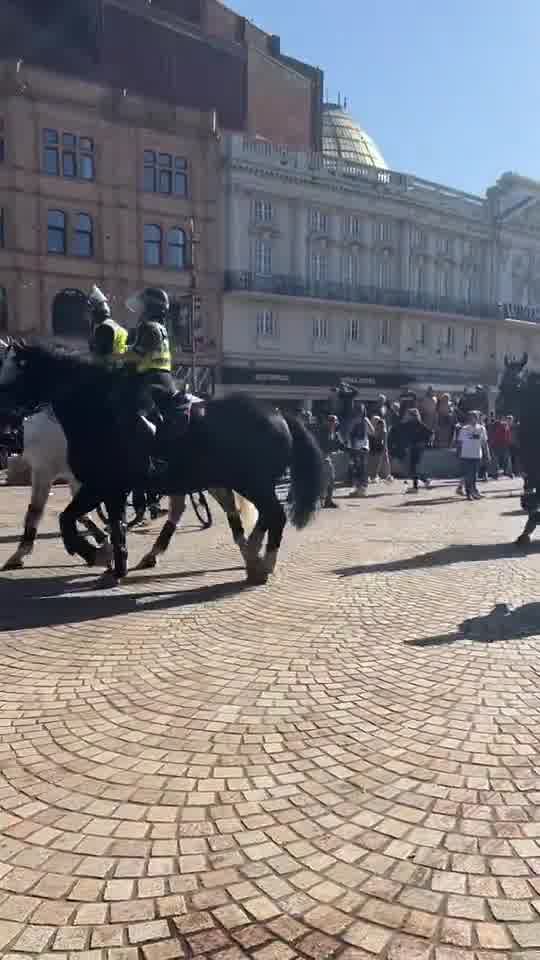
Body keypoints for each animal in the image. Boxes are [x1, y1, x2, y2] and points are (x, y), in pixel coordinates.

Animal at [0, 344, 320, 584]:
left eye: (13, 372)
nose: (6, 421)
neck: (98, 411)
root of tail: (279, 412)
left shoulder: (94, 484)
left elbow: (65, 519)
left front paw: (95, 555)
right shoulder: (106, 489)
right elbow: (111, 526)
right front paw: (113, 563)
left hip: (252, 482)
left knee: (273, 515)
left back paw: (261, 562)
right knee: (253, 515)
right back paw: (249, 554)